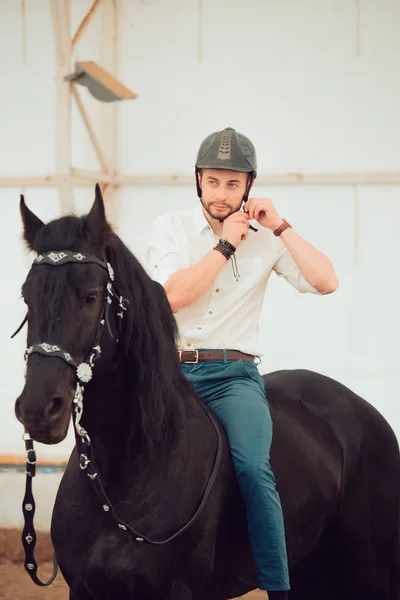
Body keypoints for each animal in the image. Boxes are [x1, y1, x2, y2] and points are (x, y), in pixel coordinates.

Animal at [14, 185, 398, 596]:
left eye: (90, 296)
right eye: (27, 297)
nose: (38, 410)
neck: (125, 471)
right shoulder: (83, 589)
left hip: (373, 570)